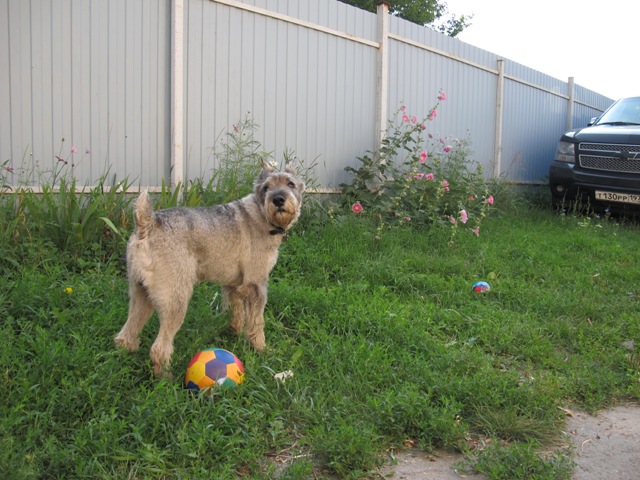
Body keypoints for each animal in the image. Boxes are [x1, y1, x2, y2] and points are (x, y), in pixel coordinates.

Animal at [115, 161, 304, 376]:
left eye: (290, 184)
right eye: (267, 187)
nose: (278, 199)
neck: (261, 213)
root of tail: (147, 224)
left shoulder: (233, 285)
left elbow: (237, 313)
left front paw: (235, 334)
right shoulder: (257, 285)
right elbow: (256, 322)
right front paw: (261, 349)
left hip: (140, 294)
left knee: (126, 335)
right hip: (175, 300)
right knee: (159, 347)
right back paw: (166, 376)